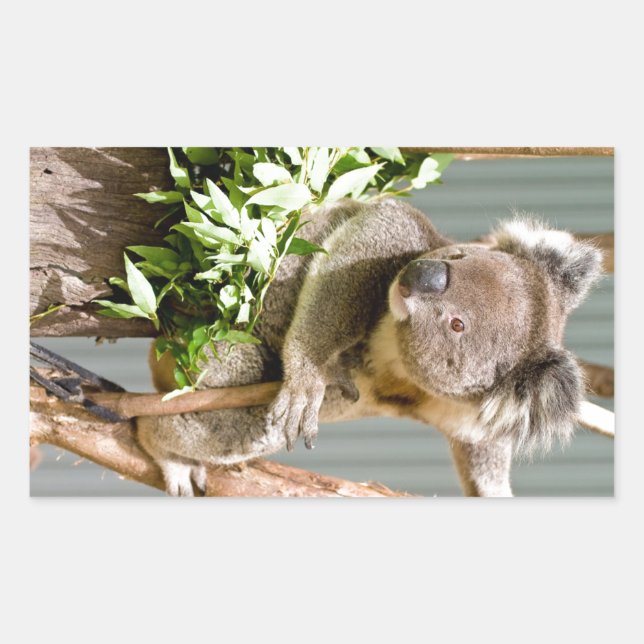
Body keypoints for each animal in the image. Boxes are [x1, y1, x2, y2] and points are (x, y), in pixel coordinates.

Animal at [136, 198, 602, 497]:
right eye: (460, 258)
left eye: (457, 325)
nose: (419, 274)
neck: (401, 363)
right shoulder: (394, 244)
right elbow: (378, 229)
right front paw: (307, 378)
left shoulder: (472, 417)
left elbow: (483, 461)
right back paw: (163, 448)